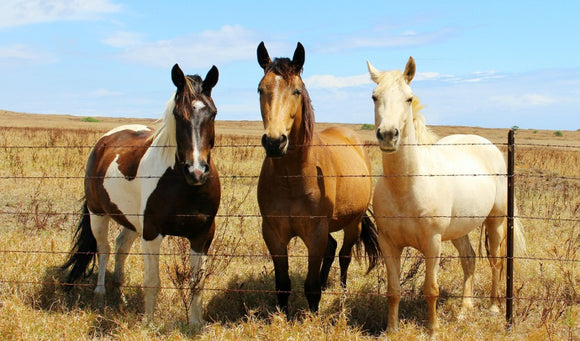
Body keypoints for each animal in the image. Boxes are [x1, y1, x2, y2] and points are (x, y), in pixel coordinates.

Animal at [61, 63, 220, 326]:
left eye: (213, 114)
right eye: (178, 115)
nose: (196, 171)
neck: (185, 187)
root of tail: (105, 140)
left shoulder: (202, 235)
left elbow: (197, 283)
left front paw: (196, 325)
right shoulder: (152, 233)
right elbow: (152, 281)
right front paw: (149, 323)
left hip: (132, 222)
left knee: (120, 246)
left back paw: (121, 296)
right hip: (98, 214)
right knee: (104, 249)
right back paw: (100, 294)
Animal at [256, 41, 378, 314]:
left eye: (296, 91)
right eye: (260, 89)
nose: (274, 141)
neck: (291, 178)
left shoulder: (315, 232)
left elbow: (310, 286)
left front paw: (312, 315)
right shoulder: (273, 233)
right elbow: (283, 284)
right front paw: (282, 316)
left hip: (353, 223)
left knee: (343, 256)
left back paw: (341, 293)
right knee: (331, 249)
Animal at [368, 57, 524, 330]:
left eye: (409, 98)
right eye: (374, 97)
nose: (387, 135)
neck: (406, 186)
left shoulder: (433, 243)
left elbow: (431, 289)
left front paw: (433, 329)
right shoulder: (388, 243)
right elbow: (393, 290)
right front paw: (391, 329)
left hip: (495, 223)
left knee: (495, 262)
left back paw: (493, 307)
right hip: (459, 230)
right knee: (469, 259)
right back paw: (464, 309)